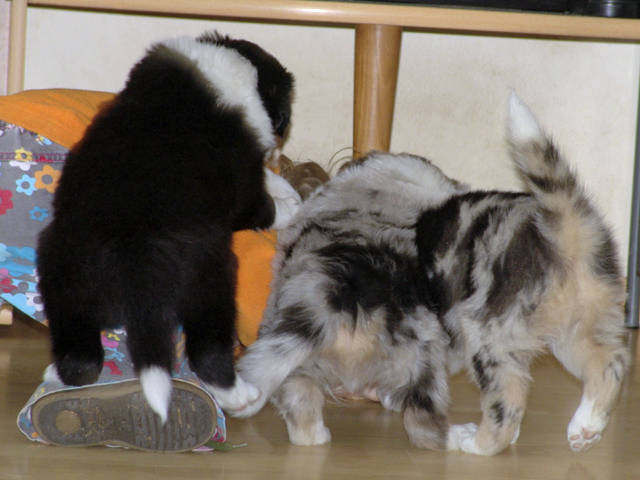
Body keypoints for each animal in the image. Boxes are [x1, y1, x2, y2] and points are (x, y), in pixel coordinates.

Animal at [37, 31, 296, 423]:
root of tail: (134, 252)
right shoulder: (244, 183)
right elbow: (261, 203)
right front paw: (291, 205)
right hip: (208, 283)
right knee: (209, 354)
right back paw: (240, 396)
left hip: (64, 274)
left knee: (81, 358)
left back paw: (57, 372)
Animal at [230, 93, 629, 455]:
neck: (373, 196)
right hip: (576, 328)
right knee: (608, 365)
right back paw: (584, 428)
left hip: (486, 339)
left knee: (486, 409)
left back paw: (472, 443)